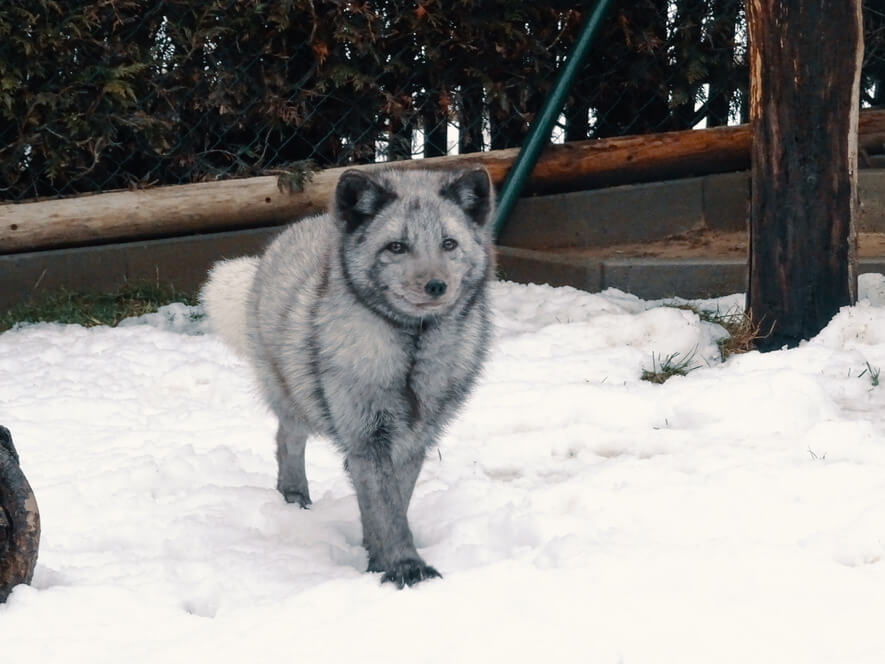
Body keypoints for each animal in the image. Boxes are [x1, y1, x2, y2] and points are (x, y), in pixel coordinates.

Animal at [201, 167, 495, 587]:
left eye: (449, 244)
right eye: (397, 247)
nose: (436, 286)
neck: (411, 354)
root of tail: (304, 224)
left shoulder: (413, 440)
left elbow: (395, 504)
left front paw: (379, 558)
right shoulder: (366, 438)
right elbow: (387, 511)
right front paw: (405, 567)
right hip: (295, 399)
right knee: (286, 439)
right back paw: (294, 496)